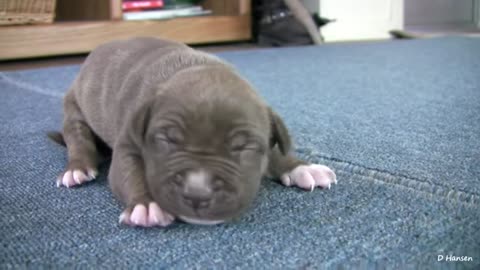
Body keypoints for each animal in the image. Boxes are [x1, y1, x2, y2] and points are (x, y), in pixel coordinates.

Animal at [54, 37, 336, 227]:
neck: (194, 68)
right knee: (78, 139)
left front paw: (300, 167)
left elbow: (275, 149)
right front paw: (146, 205)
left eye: (243, 148)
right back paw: (78, 168)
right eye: (166, 140)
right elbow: (129, 172)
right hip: (74, 109)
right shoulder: (128, 145)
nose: (198, 192)